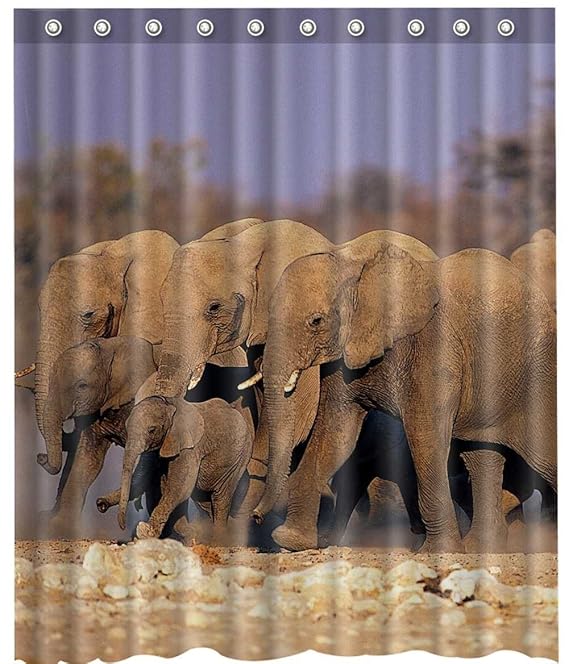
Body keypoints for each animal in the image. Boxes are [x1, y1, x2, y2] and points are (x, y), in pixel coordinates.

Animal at [116, 393, 253, 543]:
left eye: (152, 430)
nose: (123, 526)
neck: (170, 404)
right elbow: (168, 487)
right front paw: (191, 535)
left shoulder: (190, 448)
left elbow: (179, 488)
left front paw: (145, 533)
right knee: (205, 501)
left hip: (240, 457)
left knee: (220, 497)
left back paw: (219, 541)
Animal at [256, 241, 556, 552]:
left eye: (316, 321)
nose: (256, 516)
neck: (356, 265)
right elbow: (335, 433)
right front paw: (290, 540)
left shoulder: (435, 347)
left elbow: (424, 436)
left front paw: (440, 552)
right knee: (480, 457)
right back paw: (478, 549)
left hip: (538, 371)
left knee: (545, 454)